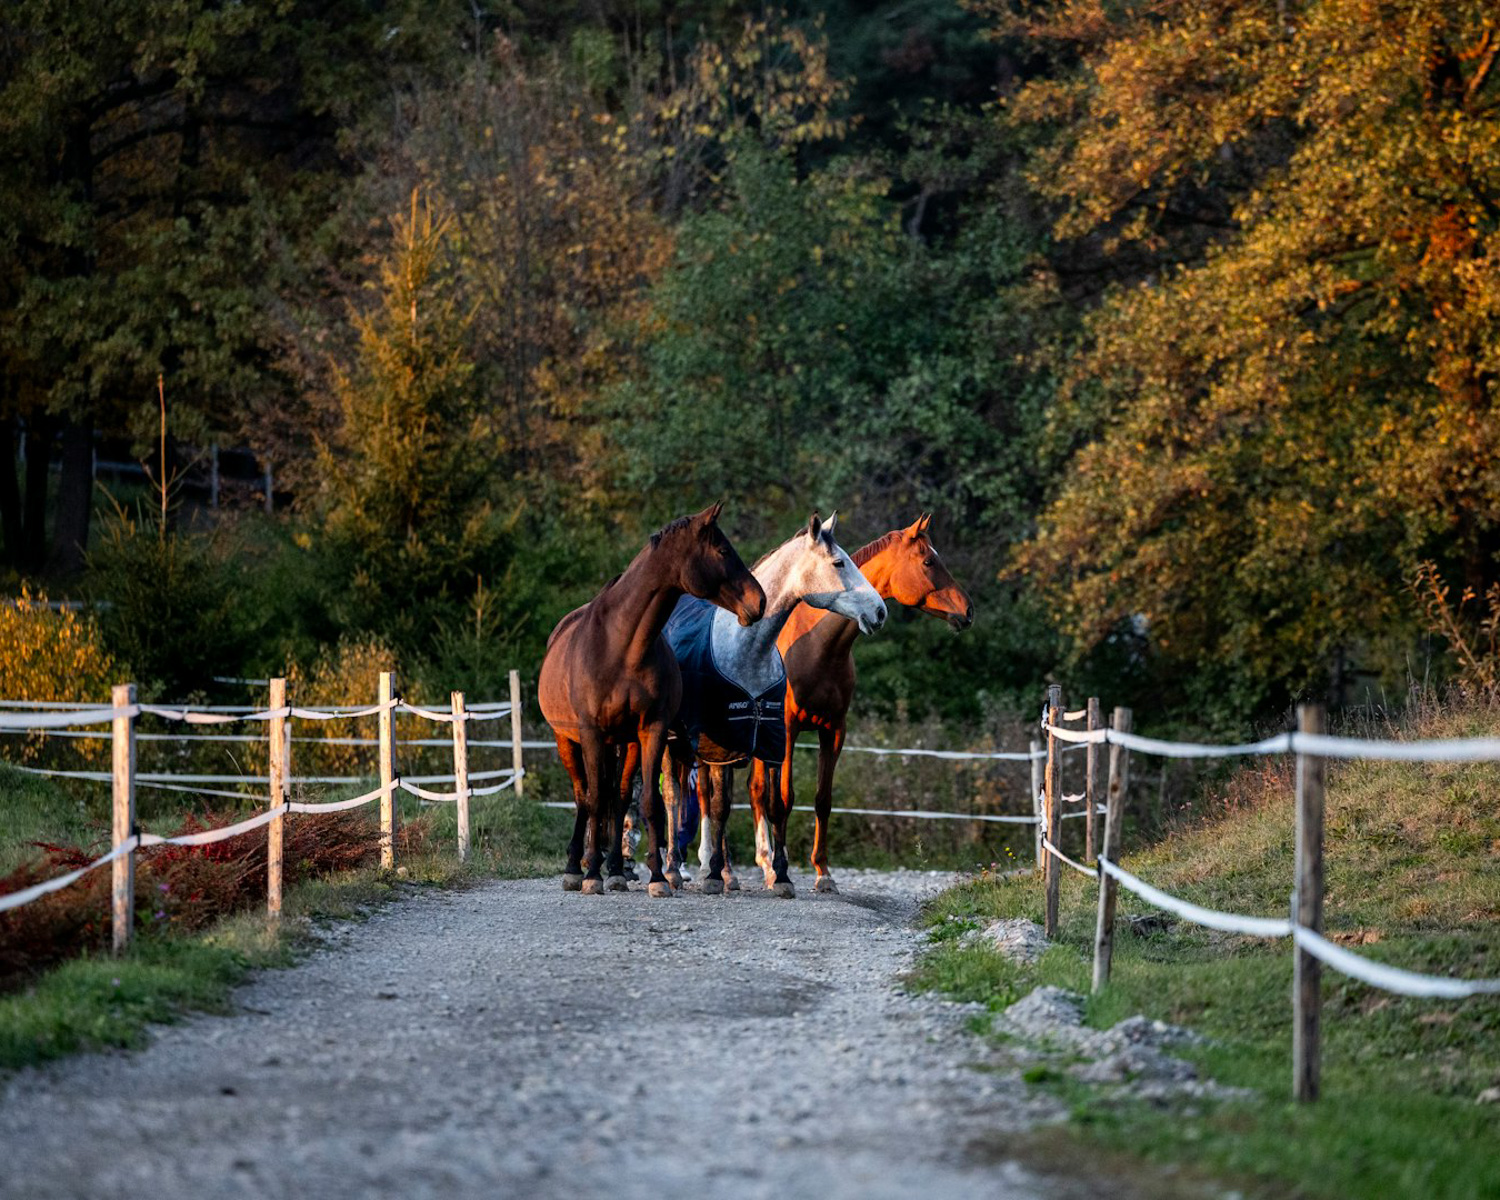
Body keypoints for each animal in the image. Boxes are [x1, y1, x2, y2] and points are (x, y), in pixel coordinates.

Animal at [537, 503, 765, 898]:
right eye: (723, 551)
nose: (760, 601)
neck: (623, 645)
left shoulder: (651, 732)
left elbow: (645, 804)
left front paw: (657, 877)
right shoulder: (591, 734)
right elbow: (594, 800)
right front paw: (591, 875)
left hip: (623, 743)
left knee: (617, 796)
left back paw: (615, 869)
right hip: (568, 740)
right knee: (584, 796)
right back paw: (576, 867)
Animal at [659, 512, 887, 897]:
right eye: (839, 563)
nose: (880, 611)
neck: (747, 648)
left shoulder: (772, 741)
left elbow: (776, 802)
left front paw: (781, 876)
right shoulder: (724, 744)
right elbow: (721, 806)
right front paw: (714, 876)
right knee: (672, 796)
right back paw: (672, 870)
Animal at [743, 513, 973, 894]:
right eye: (928, 561)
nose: (968, 611)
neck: (817, 646)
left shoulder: (834, 730)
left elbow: (823, 801)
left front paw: (823, 873)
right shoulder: (789, 729)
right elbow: (785, 799)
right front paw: (783, 872)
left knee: (756, 788)